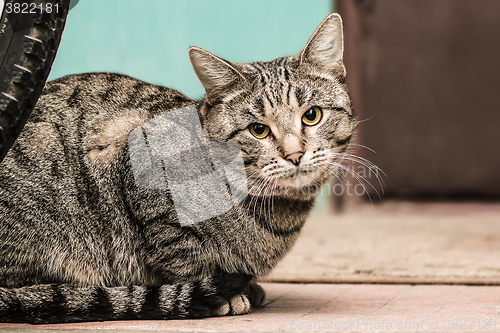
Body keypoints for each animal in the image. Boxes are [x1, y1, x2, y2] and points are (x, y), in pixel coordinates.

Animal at [0, 13, 352, 322]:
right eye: (258, 130)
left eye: (312, 115)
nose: (295, 154)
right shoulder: (142, 175)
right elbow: (184, 255)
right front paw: (223, 294)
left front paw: (248, 288)